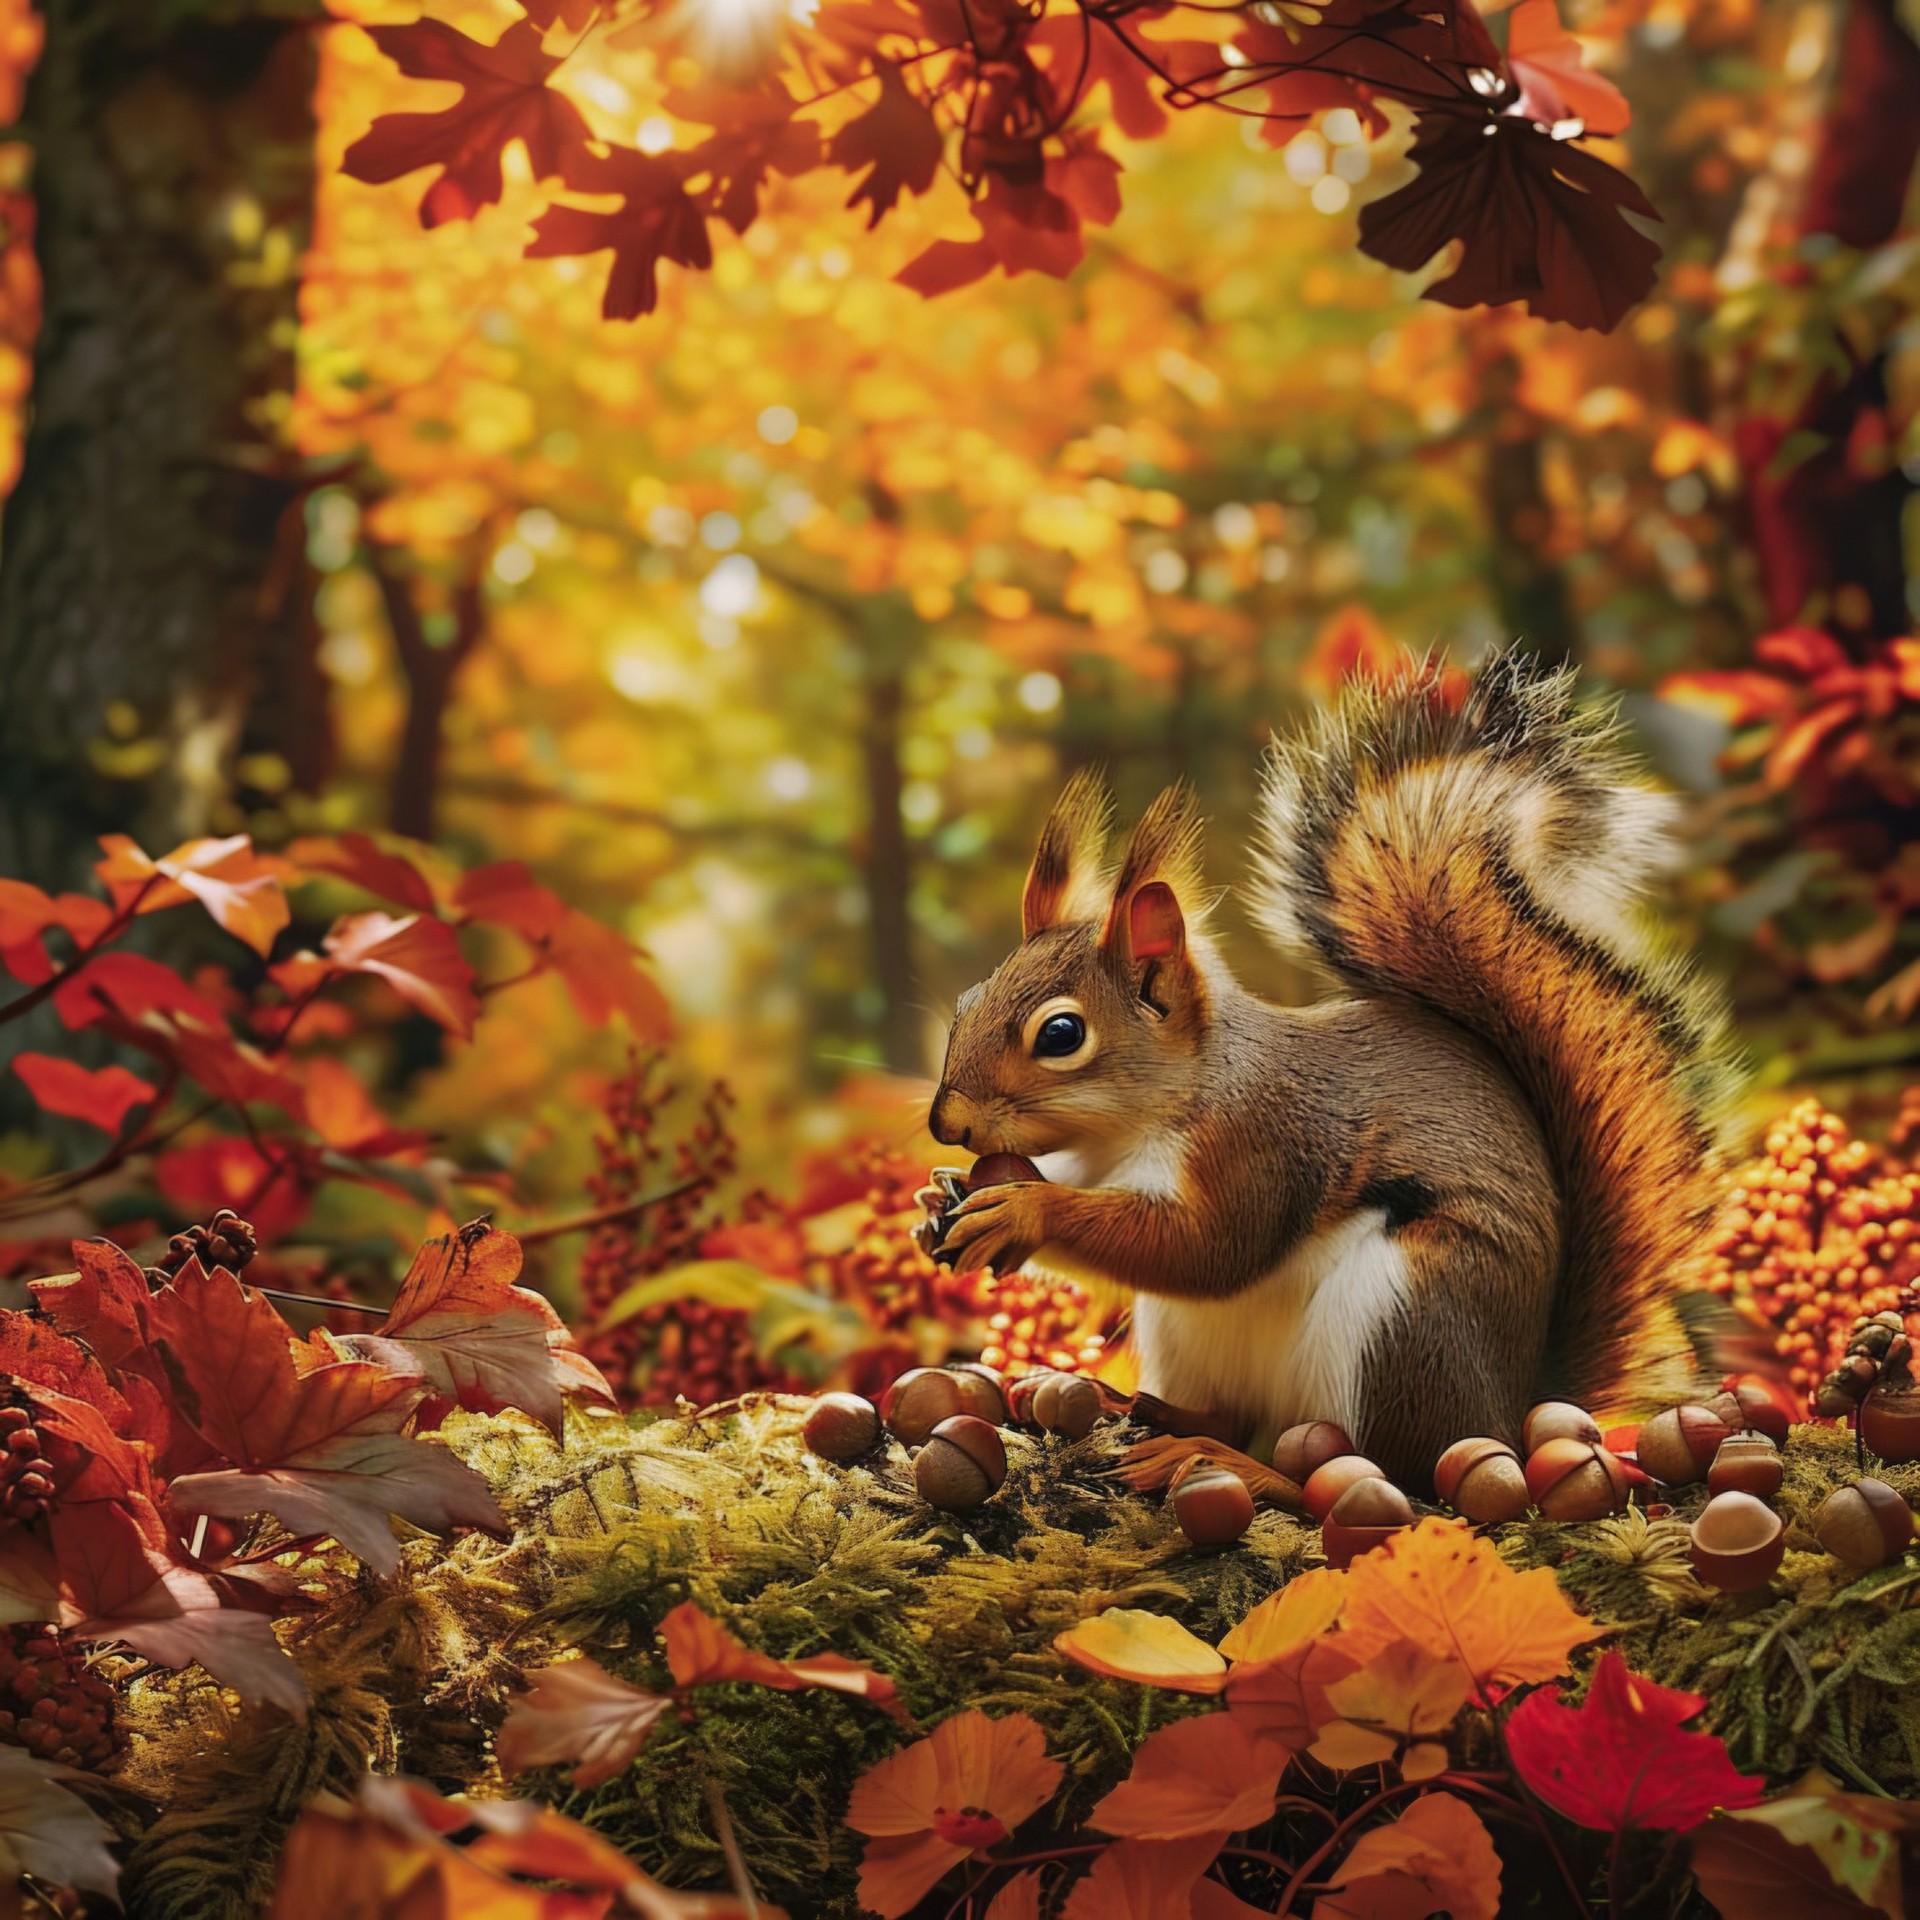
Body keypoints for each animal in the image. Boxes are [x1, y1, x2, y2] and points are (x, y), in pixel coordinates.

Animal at [928, 649, 1738, 1491]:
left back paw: (1237, 1466)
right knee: (1239, 1414)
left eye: (1061, 1033)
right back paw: (1150, 1412)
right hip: (1196, 1340)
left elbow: (1207, 1248)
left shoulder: (1262, 1143)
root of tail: (1513, 1405)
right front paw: (943, 1199)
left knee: (1383, 1472)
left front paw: (1026, 1209)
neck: (1142, 1120)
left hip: (1402, 1316)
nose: (946, 1123)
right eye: (967, 1000)